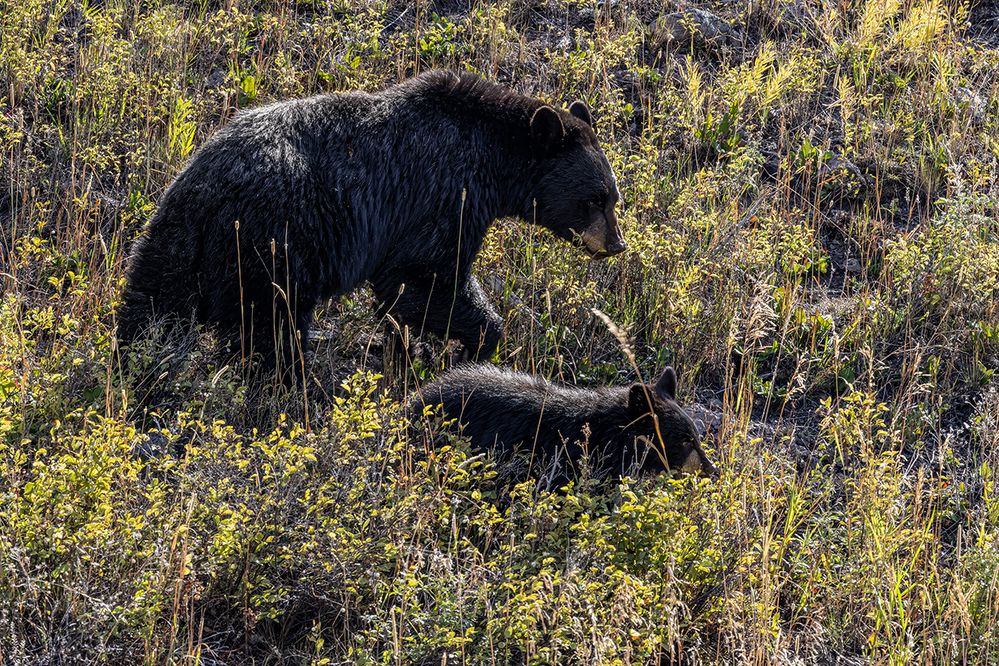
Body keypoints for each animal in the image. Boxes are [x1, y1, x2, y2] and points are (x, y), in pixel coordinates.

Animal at [117, 70, 625, 381]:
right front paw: (476, 343)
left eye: (614, 196)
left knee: (152, 297)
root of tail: (205, 189)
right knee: (273, 322)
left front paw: (409, 354)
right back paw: (296, 379)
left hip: (178, 239)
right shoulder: (442, 193)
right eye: (595, 198)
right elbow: (423, 278)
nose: (616, 245)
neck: (492, 158)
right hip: (275, 240)